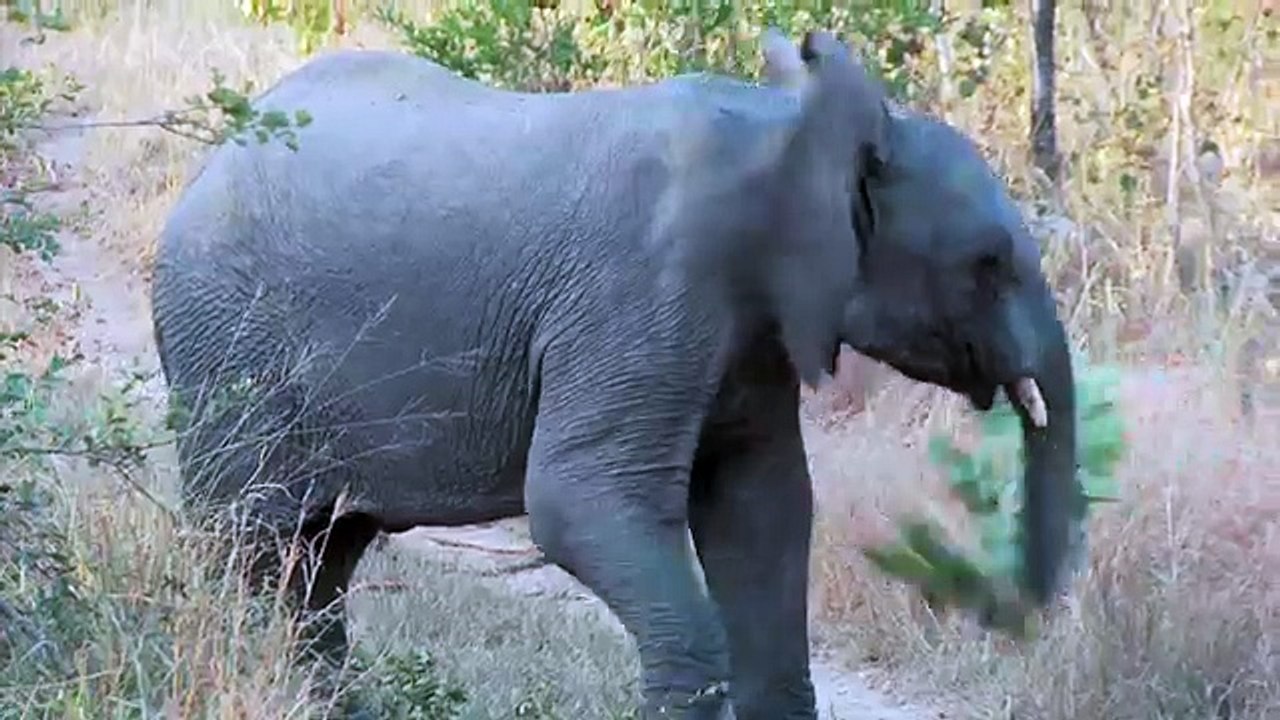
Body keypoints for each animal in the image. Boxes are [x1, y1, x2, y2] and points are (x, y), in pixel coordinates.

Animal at [149, 27, 1081, 720]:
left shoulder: (754, 327)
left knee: (321, 560)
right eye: (990, 263)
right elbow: (581, 501)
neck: (786, 127)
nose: (1019, 613)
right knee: (253, 546)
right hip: (223, 345)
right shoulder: (642, 290)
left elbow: (764, 508)